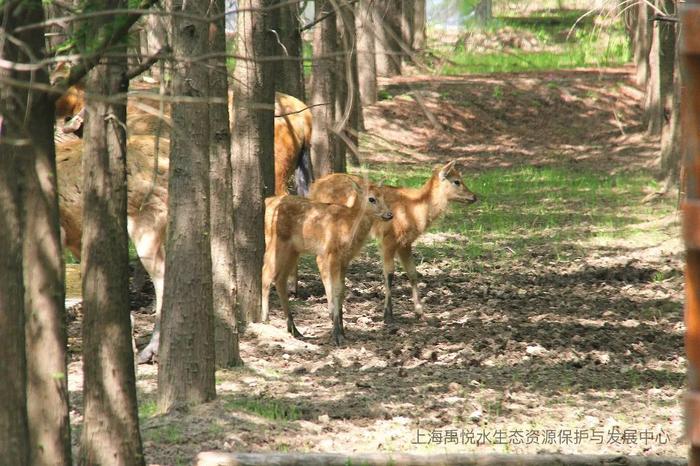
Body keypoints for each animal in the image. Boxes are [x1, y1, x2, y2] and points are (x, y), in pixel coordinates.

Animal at [262, 178, 394, 346]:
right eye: (371, 199)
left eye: (383, 196)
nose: (389, 214)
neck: (347, 229)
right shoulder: (325, 254)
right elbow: (332, 290)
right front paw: (335, 332)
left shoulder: (345, 260)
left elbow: (341, 290)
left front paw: (342, 331)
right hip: (275, 243)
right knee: (266, 275)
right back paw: (265, 320)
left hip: (293, 251)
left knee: (280, 280)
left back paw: (294, 329)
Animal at [308, 162, 478, 322]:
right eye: (457, 181)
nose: (474, 197)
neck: (415, 209)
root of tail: (314, 187)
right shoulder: (389, 238)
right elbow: (389, 274)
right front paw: (388, 315)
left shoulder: (405, 243)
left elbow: (413, 273)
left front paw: (420, 313)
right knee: (321, 262)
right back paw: (332, 311)